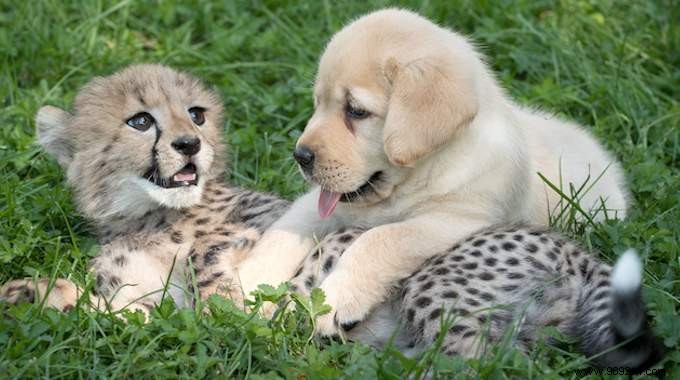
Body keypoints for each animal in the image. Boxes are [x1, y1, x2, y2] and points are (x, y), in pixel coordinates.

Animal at [234, 8, 628, 336]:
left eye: (356, 111)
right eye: (318, 103)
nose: (300, 156)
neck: (421, 173)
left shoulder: (455, 221)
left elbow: (380, 239)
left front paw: (336, 300)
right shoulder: (328, 203)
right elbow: (286, 229)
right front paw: (246, 281)